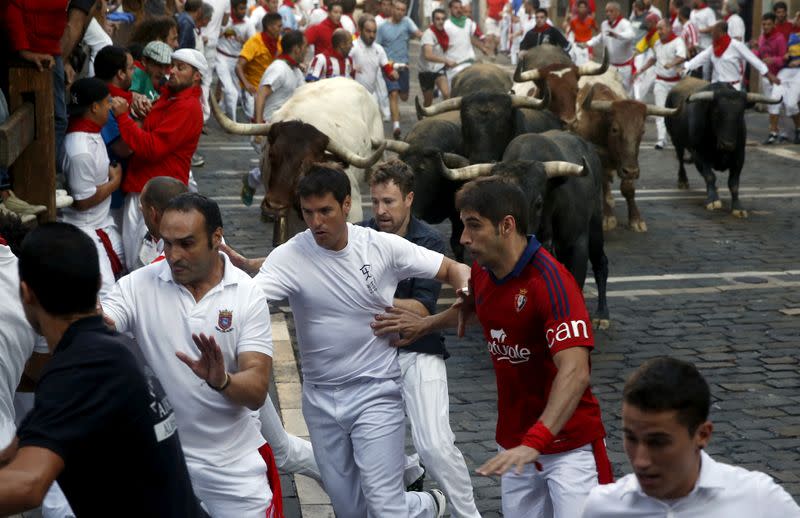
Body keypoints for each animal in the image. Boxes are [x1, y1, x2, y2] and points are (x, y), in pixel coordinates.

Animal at [572, 82, 680, 233]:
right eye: (615, 129)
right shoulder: (600, 159)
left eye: (642, 131)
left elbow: (628, 189)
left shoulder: (630, 164)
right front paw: (608, 217)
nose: (632, 172)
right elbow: (603, 182)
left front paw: (636, 219)